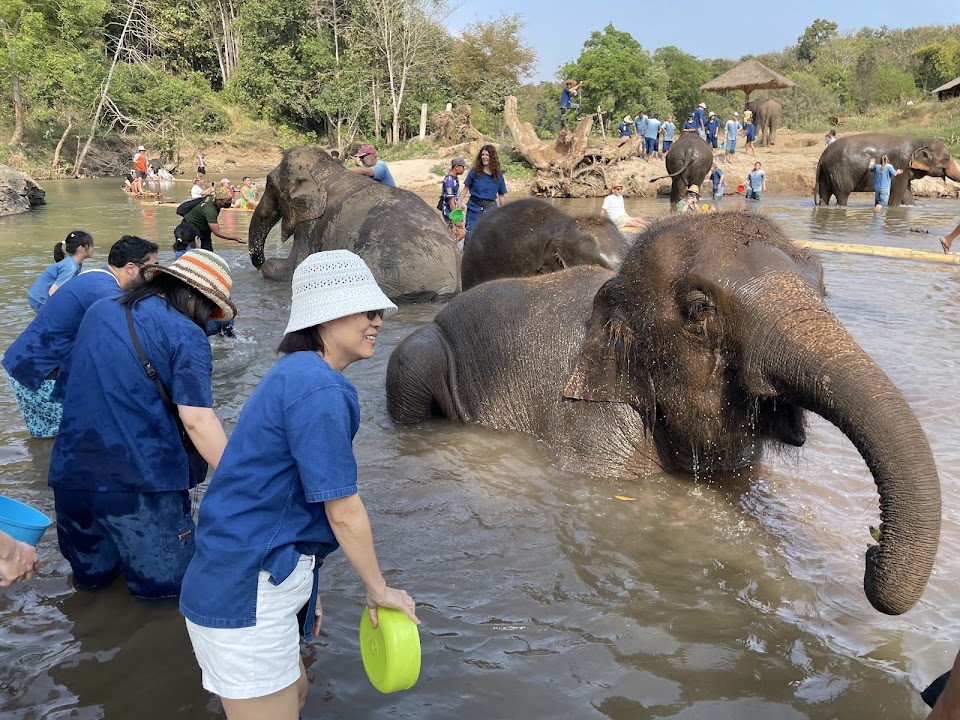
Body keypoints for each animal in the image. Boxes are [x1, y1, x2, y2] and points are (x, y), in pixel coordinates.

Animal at [248, 146, 458, 302]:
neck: (323, 170)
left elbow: (295, 267)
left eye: (269, 184)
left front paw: (267, 266)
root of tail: (448, 284)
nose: (259, 261)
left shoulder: (311, 225)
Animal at [815, 133, 960, 207]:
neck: (920, 140)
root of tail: (823, 154)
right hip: (838, 171)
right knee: (842, 195)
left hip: (827, 172)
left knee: (824, 194)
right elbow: (898, 191)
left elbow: (906, 192)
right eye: (946, 158)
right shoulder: (901, 162)